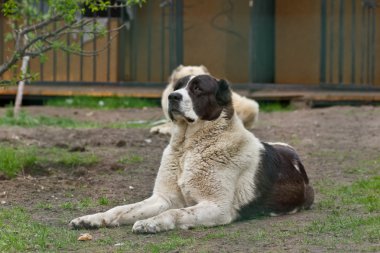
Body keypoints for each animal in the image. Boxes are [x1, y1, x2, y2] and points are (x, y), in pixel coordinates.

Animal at [69, 74, 314, 233]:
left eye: (197, 88)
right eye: (177, 86)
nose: (173, 97)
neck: (187, 150)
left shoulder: (217, 207)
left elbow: (175, 213)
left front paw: (151, 223)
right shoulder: (163, 198)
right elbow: (121, 209)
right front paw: (91, 219)